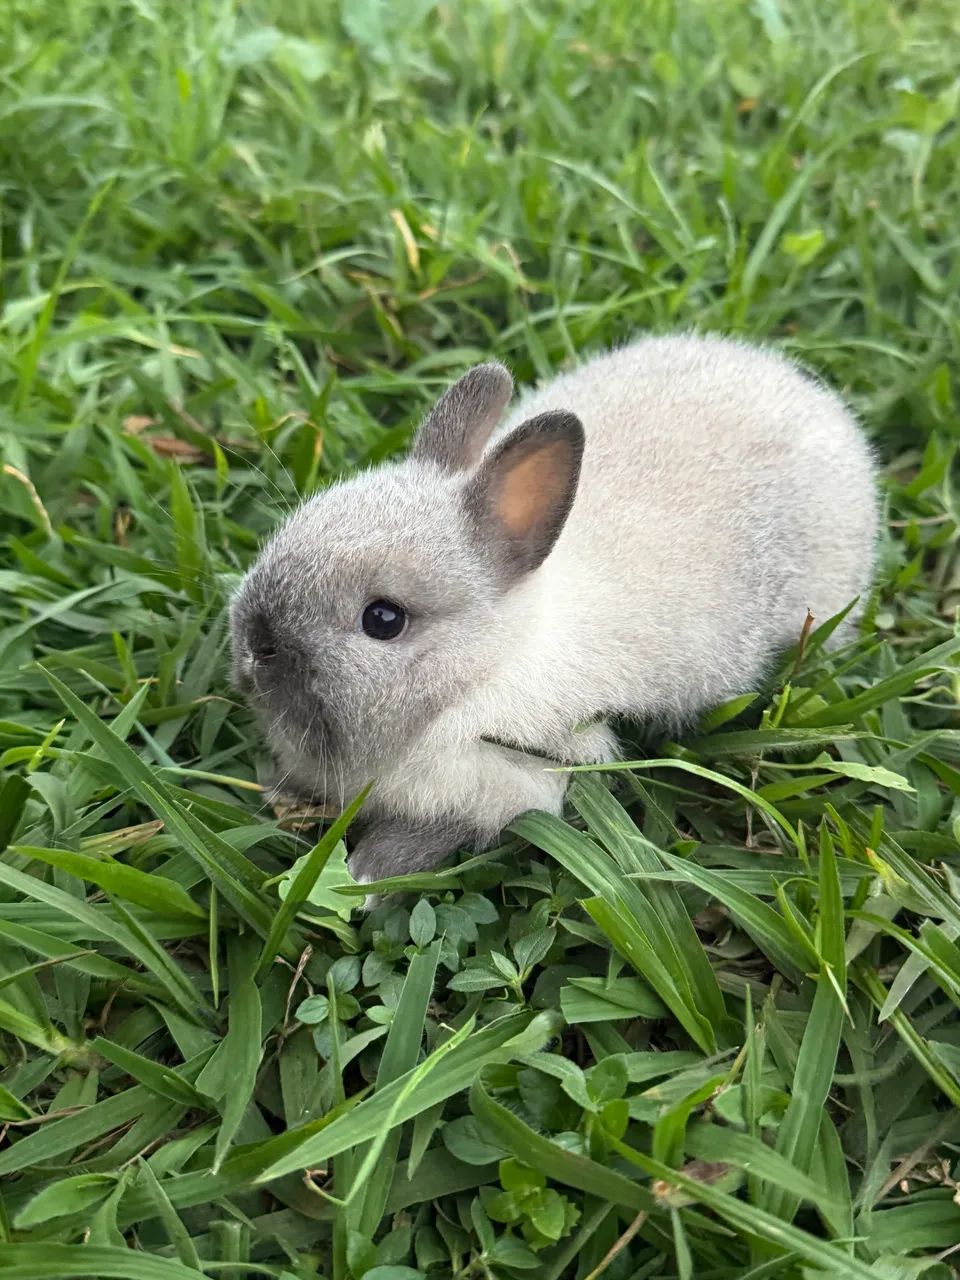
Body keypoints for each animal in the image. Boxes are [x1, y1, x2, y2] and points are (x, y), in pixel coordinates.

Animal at [230, 333, 877, 884]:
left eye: (383, 620)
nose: (256, 649)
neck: (485, 667)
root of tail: (815, 399)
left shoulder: (512, 783)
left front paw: (366, 875)